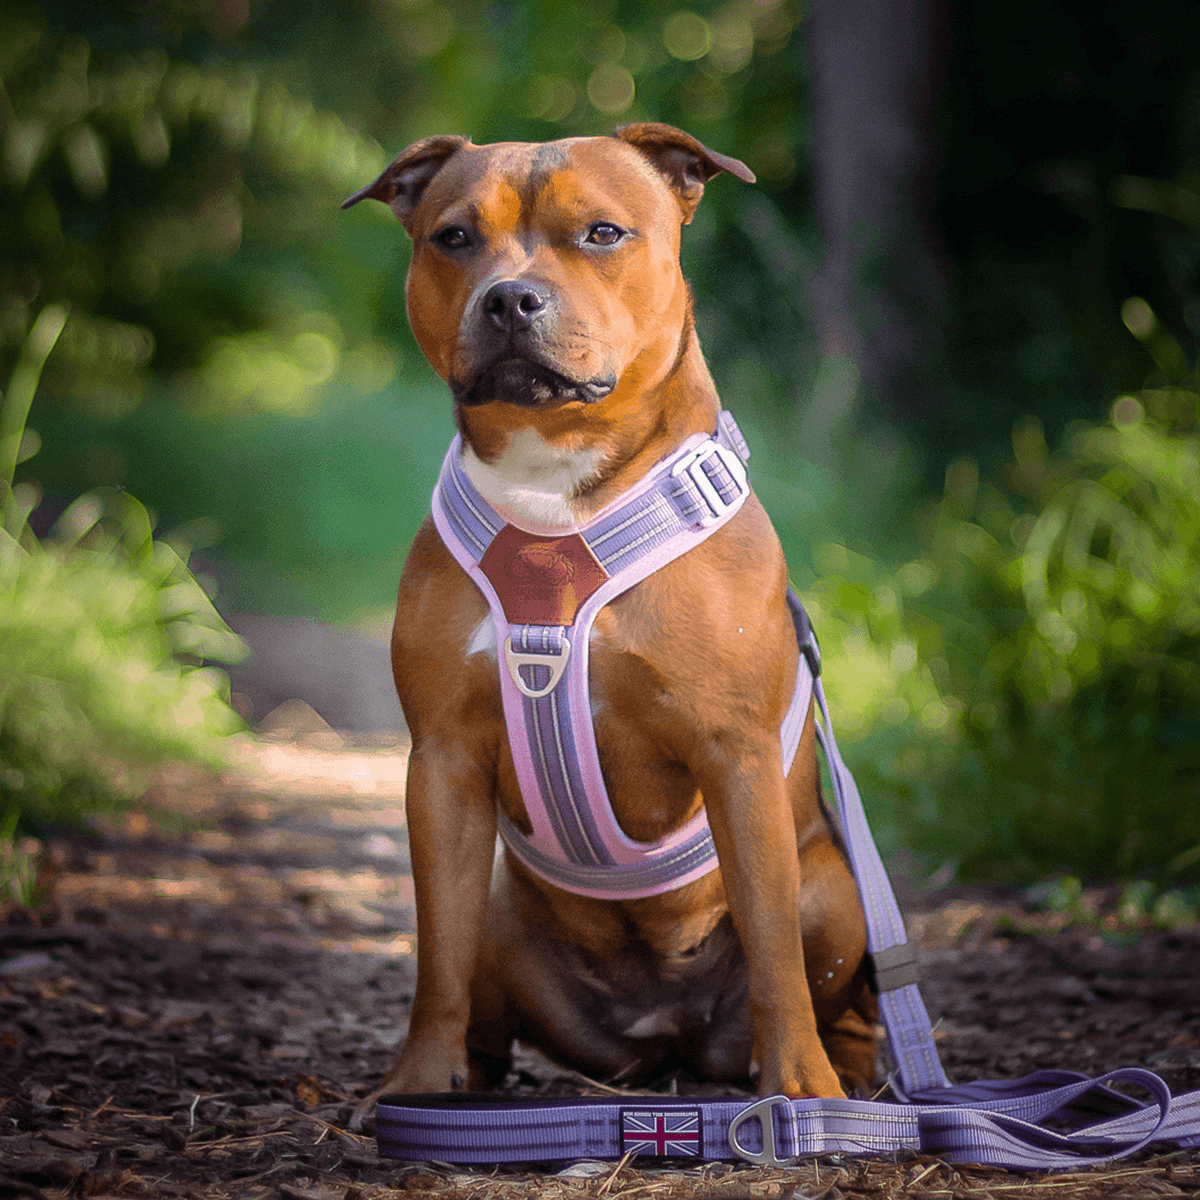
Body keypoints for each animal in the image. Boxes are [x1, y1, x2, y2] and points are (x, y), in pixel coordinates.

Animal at [343, 124, 878, 1113]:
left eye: (601, 233)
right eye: (452, 238)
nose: (510, 298)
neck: (555, 484)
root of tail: (664, 1035)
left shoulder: (738, 759)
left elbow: (776, 950)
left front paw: (801, 1090)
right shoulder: (442, 763)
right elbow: (436, 952)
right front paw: (416, 1084)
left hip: (836, 890)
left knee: (840, 984)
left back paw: (852, 1077)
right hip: (504, 912)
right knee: (479, 979)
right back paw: (472, 1081)